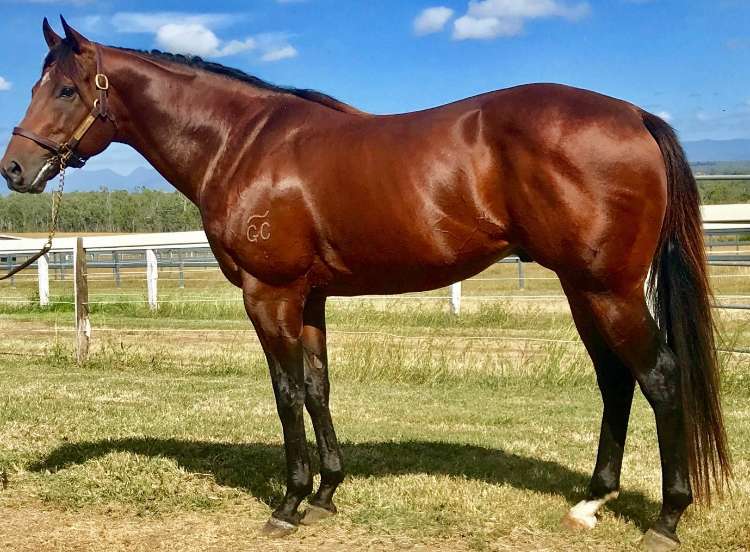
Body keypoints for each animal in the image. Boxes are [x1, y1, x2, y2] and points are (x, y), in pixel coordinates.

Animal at [1, 17, 731, 551]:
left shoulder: (269, 293)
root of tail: (635, 115)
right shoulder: (310, 297)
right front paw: (327, 492)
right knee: (615, 381)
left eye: (65, 90)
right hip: (585, 290)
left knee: (659, 377)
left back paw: (667, 518)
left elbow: (286, 393)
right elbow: (318, 387)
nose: (14, 168)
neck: (242, 144)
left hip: (609, 289)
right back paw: (590, 502)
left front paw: (290, 503)